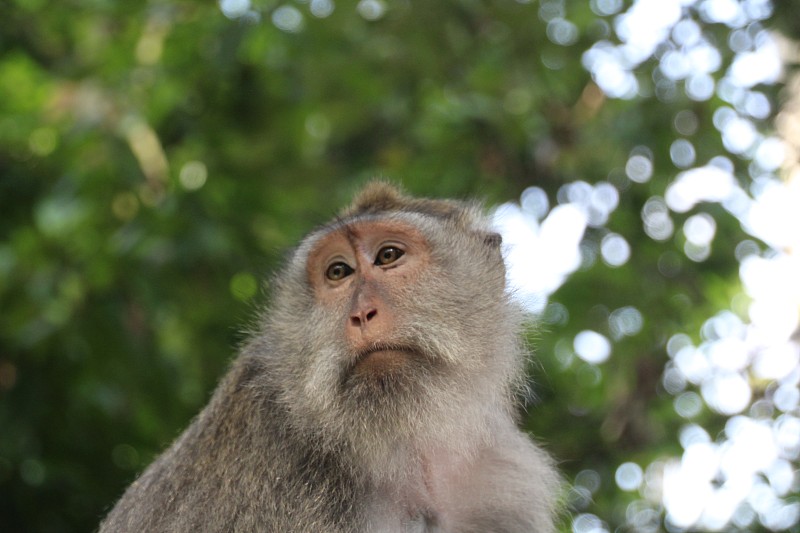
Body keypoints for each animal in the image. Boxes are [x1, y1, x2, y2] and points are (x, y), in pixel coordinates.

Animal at [100, 181, 560, 528]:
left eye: (388, 255)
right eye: (338, 272)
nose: (361, 313)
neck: (405, 454)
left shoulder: (502, 488)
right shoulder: (280, 475)